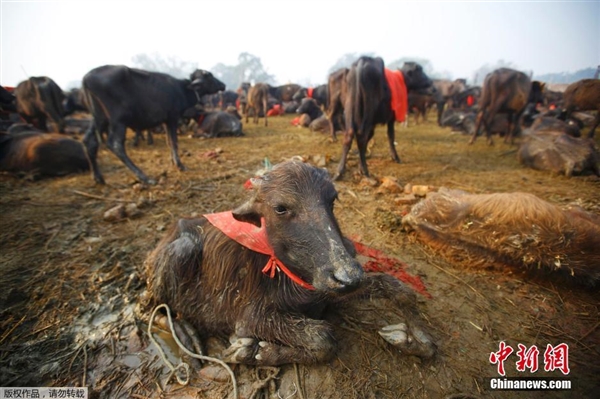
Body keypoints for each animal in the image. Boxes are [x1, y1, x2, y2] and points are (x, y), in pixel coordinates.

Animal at [82, 65, 225, 184]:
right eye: (209, 76)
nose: (223, 85)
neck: (182, 90)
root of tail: (86, 78)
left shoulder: (166, 121)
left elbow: (169, 142)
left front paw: (173, 162)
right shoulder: (172, 118)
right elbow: (173, 142)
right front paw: (180, 165)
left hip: (98, 119)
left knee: (89, 141)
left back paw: (98, 177)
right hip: (118, 120)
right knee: (116, 145)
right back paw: (144, 177)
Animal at [145, 161, 436, 368]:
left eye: (332, 200)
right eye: (281, 208)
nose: (348, 275)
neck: (289, 272)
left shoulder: (326, 292)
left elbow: (399, 289)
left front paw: (415, 339)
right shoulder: (251, 318)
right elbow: (322, 337)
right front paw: (253, 352)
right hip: (179, 254)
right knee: (147, 308)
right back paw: (185, 334)